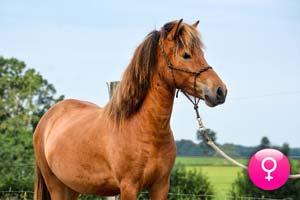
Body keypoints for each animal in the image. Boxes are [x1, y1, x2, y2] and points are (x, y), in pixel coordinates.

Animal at [33, 19, 227, 200]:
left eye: (201, 54)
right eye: (186, 55)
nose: (220, 91)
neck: (141, 127)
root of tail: (47, 118)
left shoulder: (161, 186)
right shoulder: (129, 187)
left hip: (72, 187)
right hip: (55, 185)